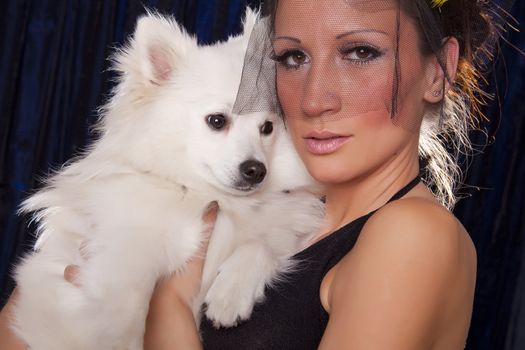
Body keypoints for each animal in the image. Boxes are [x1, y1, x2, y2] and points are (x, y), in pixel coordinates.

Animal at [10, 8, 324, 350]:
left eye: (267, 128)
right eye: (217, 121)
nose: (256, 170)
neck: (212, 198)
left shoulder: (285, 227)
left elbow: (260, 244)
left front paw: (231, 294)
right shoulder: (125, 247)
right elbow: (123, 305)